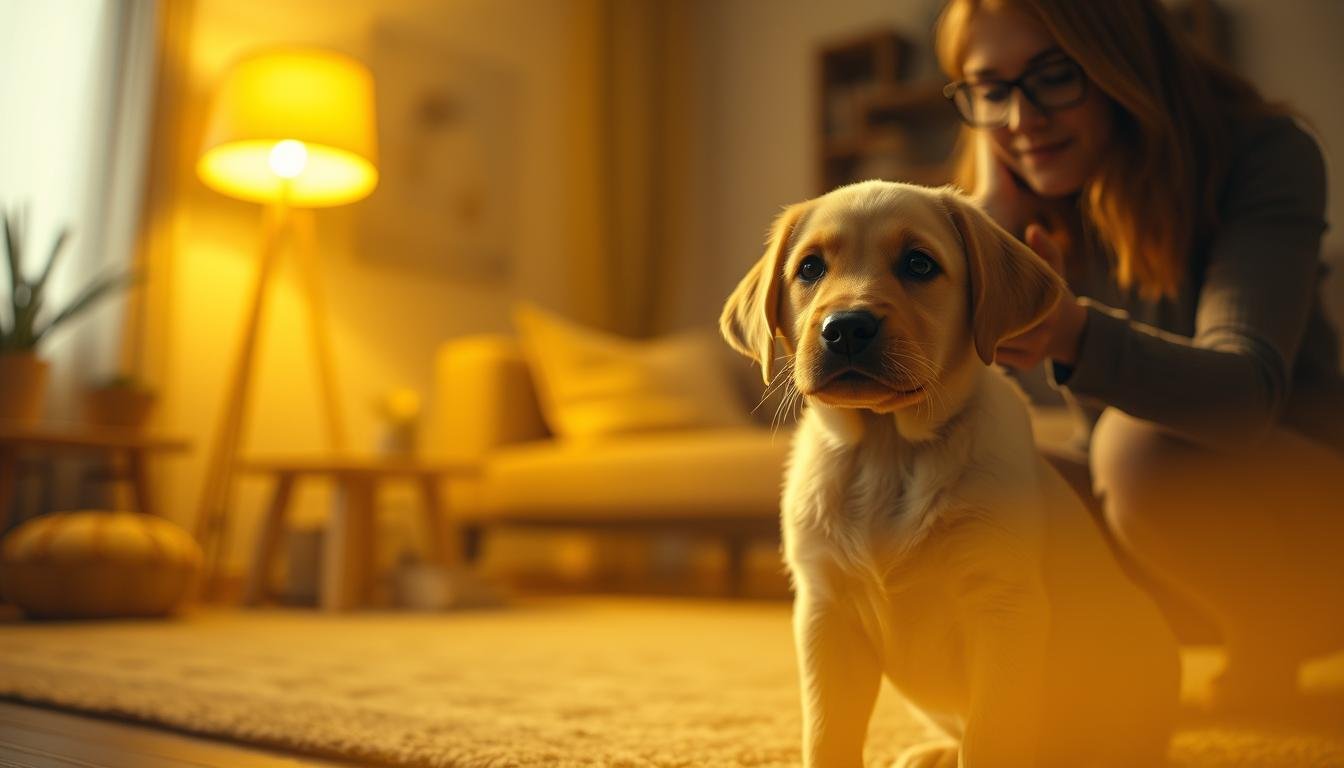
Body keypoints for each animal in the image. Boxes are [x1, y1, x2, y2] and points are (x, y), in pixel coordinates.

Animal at [725, 181, 1177, 768]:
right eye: (810, 268)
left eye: (919, 264)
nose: (845, 329)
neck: (888, 449)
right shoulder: (826, 613)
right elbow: (828, 737)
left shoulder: (1003, 609)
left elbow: (990, 738)